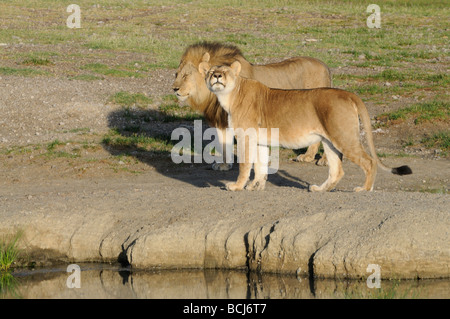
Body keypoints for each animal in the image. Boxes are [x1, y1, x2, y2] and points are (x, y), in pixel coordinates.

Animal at [171, 42, 330, 170]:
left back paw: (324, 160)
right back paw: (308, 156)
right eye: (176, 74)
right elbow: (224, 144)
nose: (174, 88)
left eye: (186, 75)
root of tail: (324, 65)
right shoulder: (222, 121)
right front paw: (224, 165)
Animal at [200, 62, 412, 192]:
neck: (229, 96)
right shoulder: (260, 140)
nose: (216, 76)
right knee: (337, 170)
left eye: (225, 72)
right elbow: (260, 166)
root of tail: (347, 93)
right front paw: (255, 186)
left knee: (369, 162)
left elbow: (245, 165)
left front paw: (237, 186)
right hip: (330, 140)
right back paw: (320, 189)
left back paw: (364, 189)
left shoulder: (245, 136)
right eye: (210, 72)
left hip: (343, 137)